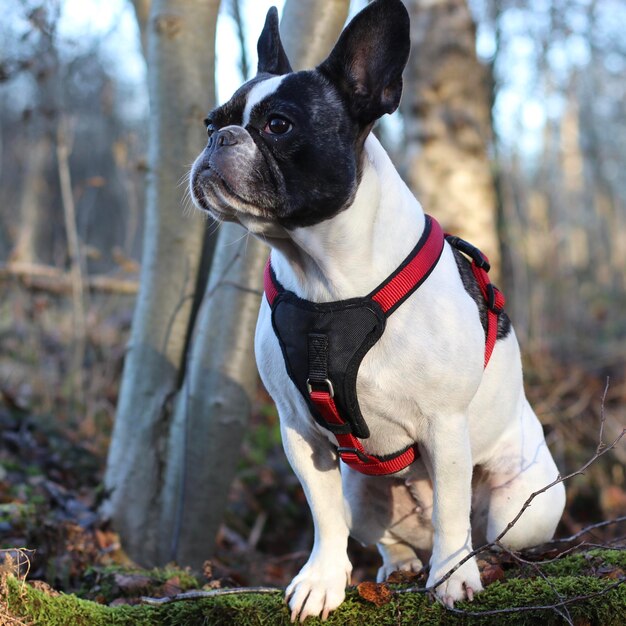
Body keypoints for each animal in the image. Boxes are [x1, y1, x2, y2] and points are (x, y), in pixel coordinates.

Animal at [188, 0, 564, 616]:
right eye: (210, 122)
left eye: (278, 125)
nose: (221, 139)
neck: (324, 276)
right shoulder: (301, 433)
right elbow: (324, 518)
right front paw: (322, 580)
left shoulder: (444, 424)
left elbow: (452, 513)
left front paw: (453, 576)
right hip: (364, 491)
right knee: (386, 536)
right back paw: (401, 566)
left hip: (523, 502)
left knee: (493, 534)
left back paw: (479, 561)